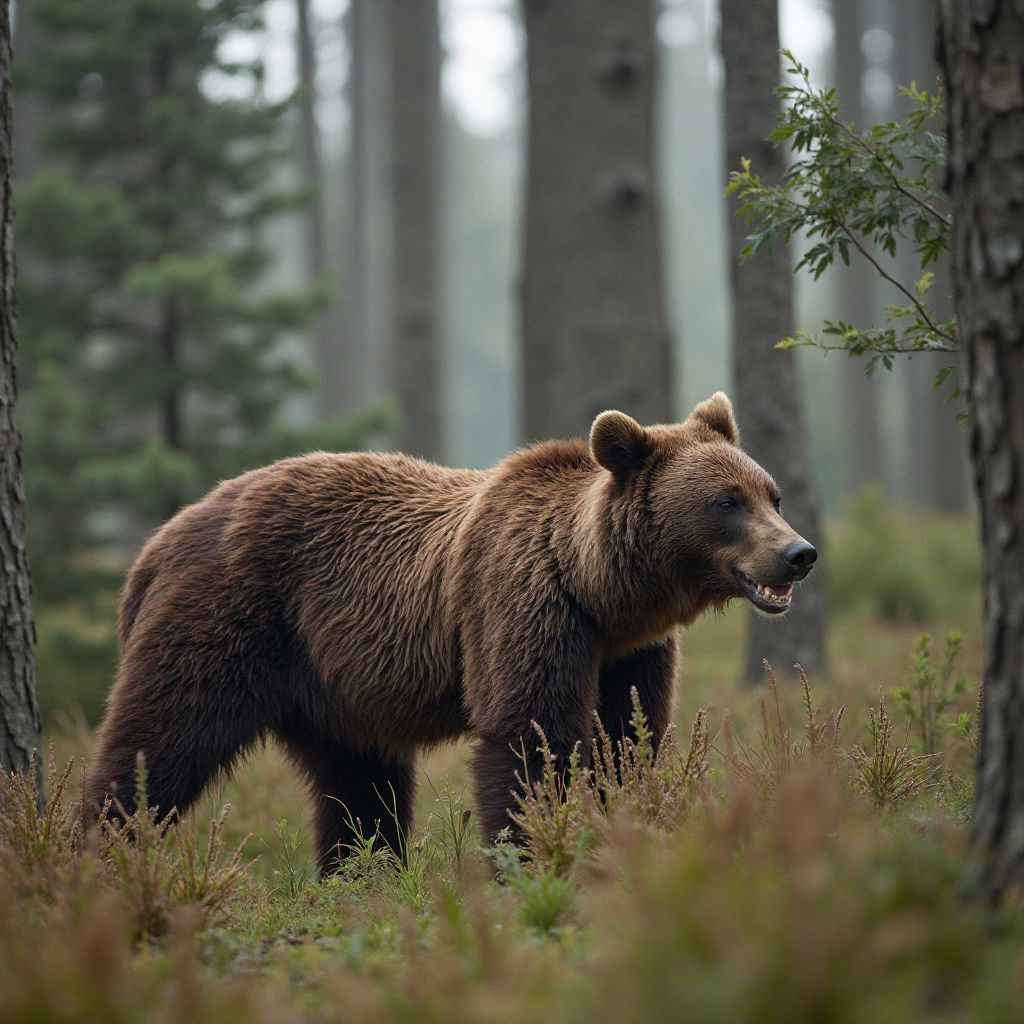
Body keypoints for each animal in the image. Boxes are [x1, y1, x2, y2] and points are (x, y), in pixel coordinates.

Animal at [85, 392, 816, 869]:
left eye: (771, 494)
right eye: (726, 502)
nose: (798, 553)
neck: (602, 590)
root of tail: (154, 545)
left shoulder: (631, 653)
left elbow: (626, 737)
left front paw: (619, 827)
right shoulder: (524, 603)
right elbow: (530, 735)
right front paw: (531, 856)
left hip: (333, 681)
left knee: (358, 780)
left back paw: (363, 872)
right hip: (227, 618)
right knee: (160, 741)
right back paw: (97, 857)